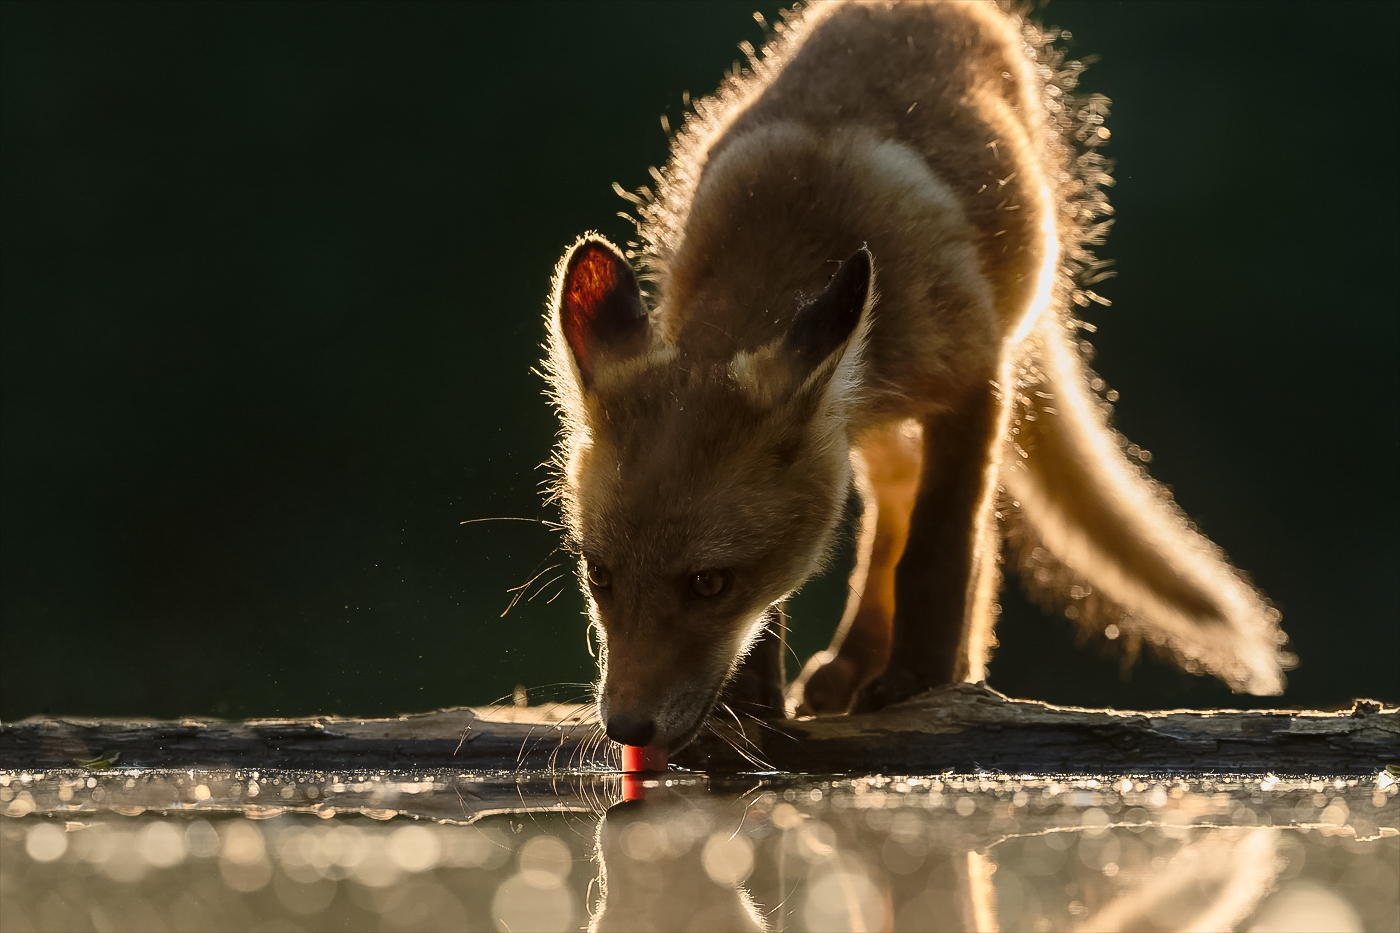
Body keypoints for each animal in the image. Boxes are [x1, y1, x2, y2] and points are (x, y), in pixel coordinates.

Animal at [534, 0, 1288, 750]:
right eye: (598, 572)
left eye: (710, 582)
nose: (626, 727)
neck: (788, 241)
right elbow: (837, 574)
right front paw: (749, 701)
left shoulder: (976, 378)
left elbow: (940, 548)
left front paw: (921, 679)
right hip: (868, 428)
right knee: (892, 512)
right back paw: (854, 660)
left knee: (965, 533)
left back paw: (940, 664)